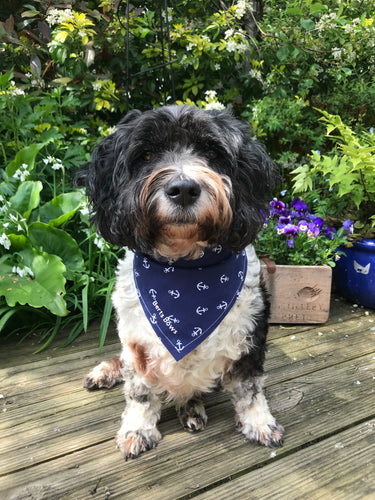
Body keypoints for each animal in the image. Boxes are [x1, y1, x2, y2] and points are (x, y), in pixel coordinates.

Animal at [76, 105, 284, 460]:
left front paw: (259, 422)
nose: (184, 189)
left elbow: (250, 388)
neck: (185, 269)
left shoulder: (250, 337)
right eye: (146, 155)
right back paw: (105, 372)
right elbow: (140, 392)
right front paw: (137, 429)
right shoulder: (138, 346)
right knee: (121, 361)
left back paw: (191, 406)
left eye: (212, 153)